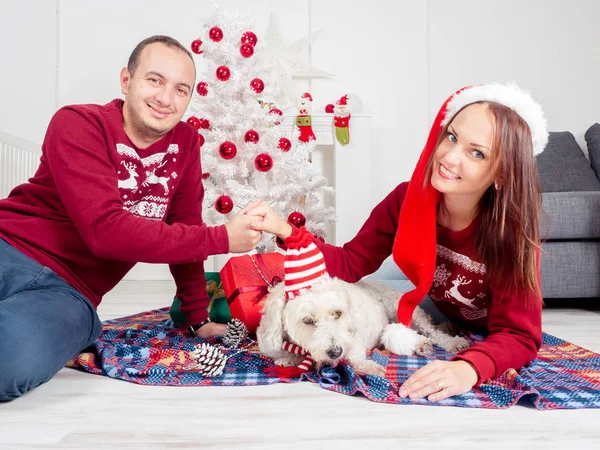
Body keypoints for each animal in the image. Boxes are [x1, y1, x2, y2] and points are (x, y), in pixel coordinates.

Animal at [255, 278, 472, 376]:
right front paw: (289, 359)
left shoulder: (352, 338)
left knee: (431, 332)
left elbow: (356, 357)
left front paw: (369, 366)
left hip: (407, 311)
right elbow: (282, 354)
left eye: (337, 313)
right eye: (308, 321)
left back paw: (448, 342)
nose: (336, 352)